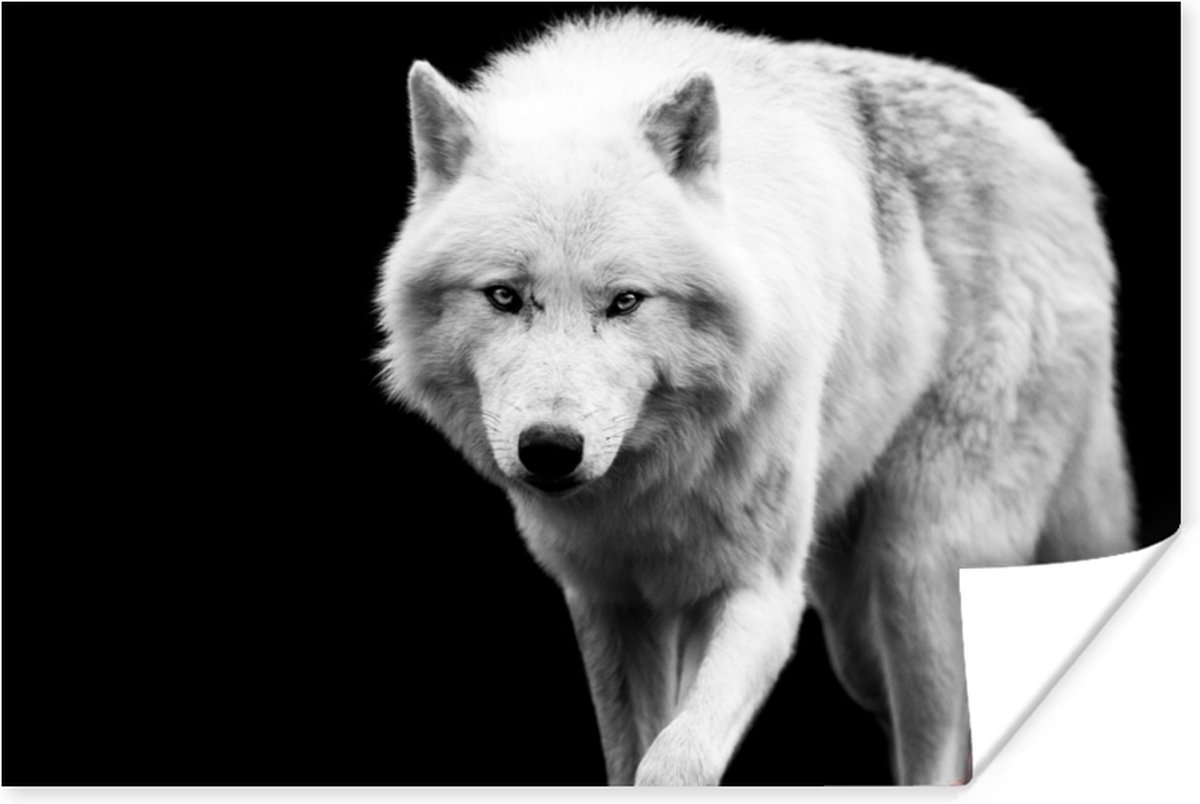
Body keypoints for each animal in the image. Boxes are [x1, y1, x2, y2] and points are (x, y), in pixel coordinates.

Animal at [375, 12, 1136, 786]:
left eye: (625, 302)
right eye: (504, 297)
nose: (551, 450)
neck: (654, 482)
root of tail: (1055, 156)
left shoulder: (762, 593)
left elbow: (674, 762)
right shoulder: (611, 602)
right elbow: (632, 755)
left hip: (918, 566)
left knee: (942, 745)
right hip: (855, 632)